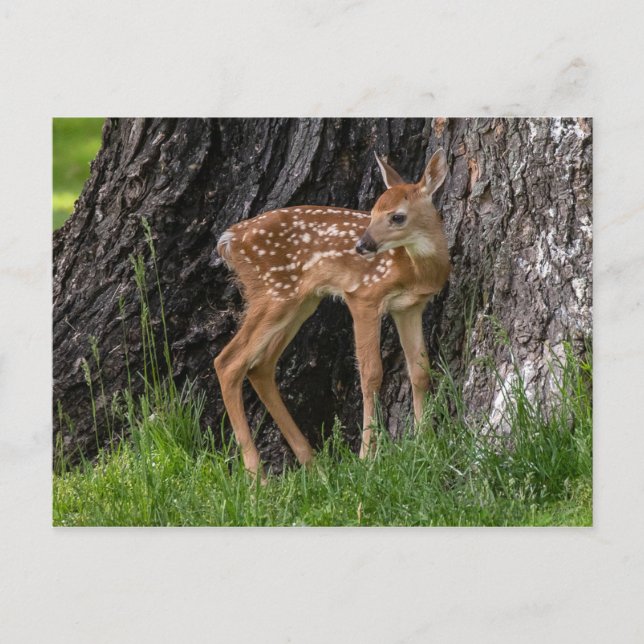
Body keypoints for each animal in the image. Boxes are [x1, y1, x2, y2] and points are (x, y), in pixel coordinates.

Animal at [214, 148, 451, 479]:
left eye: (397, 216)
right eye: (373, 211)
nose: (362, 245)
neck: (417, 270)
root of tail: (229, 240)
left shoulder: (410, 307)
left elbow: (419, 371)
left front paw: (425, 444)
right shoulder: (364, 296)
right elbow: (371, 373)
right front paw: (367, 459)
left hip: (301, 301)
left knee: (260, 366)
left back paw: (312, 464)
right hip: (274, 293)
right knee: (228, 362)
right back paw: (257, 475)